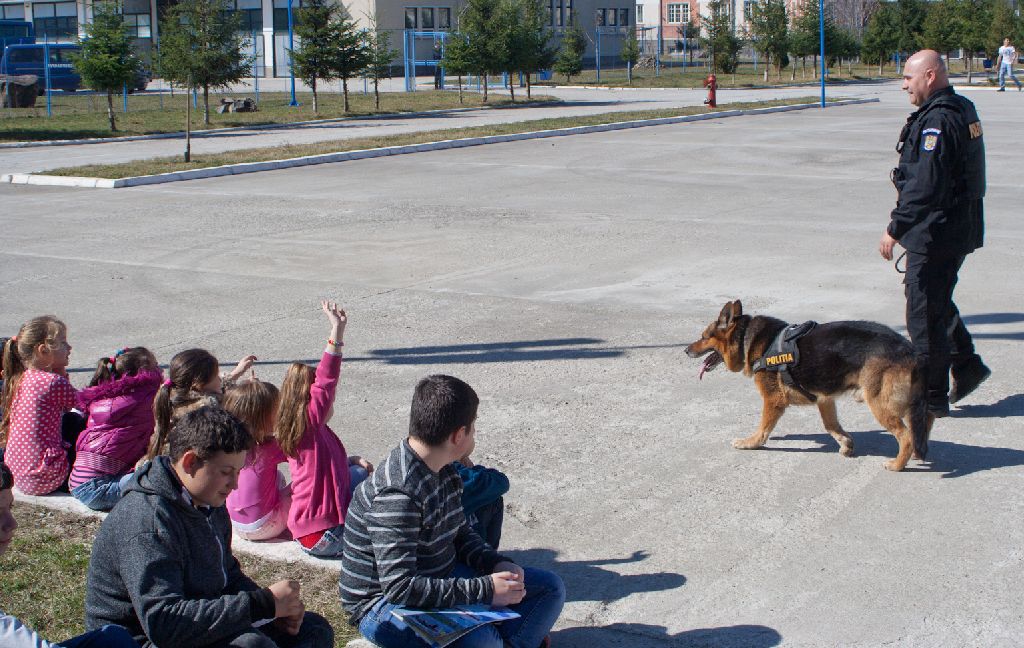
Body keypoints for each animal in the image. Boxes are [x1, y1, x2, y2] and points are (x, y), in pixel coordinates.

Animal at [688, 298, 929, 470]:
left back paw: (898, 464)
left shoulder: (773, 400)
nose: (686, 350)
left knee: (906, 436)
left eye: (703, 337)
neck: (748, 338)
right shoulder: (825, 399)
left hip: (879, 403)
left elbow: (763, 428)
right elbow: (831, 426)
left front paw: (751, 443)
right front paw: (845, 443)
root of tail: (909, 349)